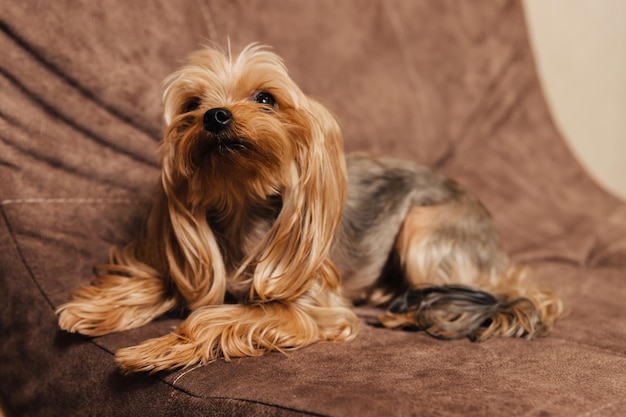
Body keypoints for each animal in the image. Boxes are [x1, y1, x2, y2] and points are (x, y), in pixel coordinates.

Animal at [56, 44, 560, 372]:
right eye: (192, 104)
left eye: (266, 98)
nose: (215, 116)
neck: (242, 203)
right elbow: (164, 281)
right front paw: (91, 311)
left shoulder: (316, 310)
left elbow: (209, 316)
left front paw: (153, 351)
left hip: (425, 229)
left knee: (504, 292)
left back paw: (409, 311)